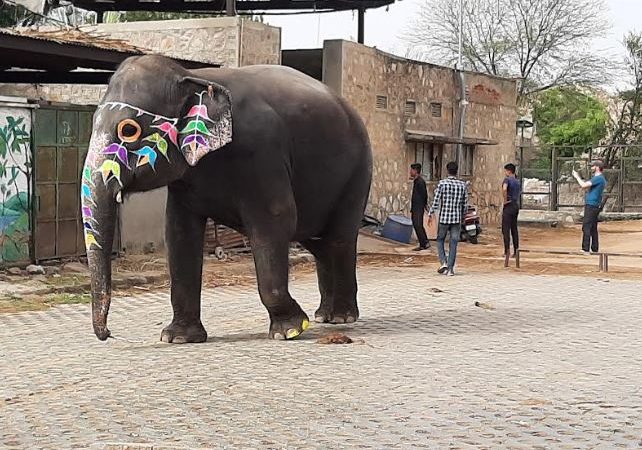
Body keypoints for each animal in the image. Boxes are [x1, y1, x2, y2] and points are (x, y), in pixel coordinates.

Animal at [81, 55, 372, 343]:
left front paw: (291, 330)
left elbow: (276, 220)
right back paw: (324, 316)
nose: (108, 334)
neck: (192, 76)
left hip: (358, 172)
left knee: (339, 238)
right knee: (318, 242)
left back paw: (341, 317)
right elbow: (179, 233)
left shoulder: (262, 151)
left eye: (128, 130)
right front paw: (178, 338)